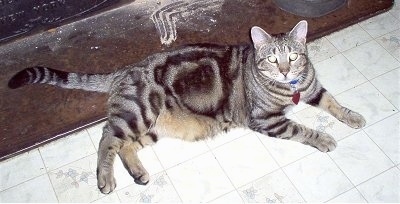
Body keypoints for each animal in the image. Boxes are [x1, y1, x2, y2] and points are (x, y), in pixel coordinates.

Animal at [8, 20, 366, 194]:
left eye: (293, 55)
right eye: (271, 59)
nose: (284, 70)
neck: (290, 87)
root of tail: (124, 70)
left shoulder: (313, 89)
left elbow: (333, 102)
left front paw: (354, 117)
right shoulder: (266, 120)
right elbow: (302, 128)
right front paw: (325, 138)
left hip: (150, 127)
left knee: (125, 146)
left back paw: (138, 173)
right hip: (138, 112)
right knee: (107, 138)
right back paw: (105, 179)